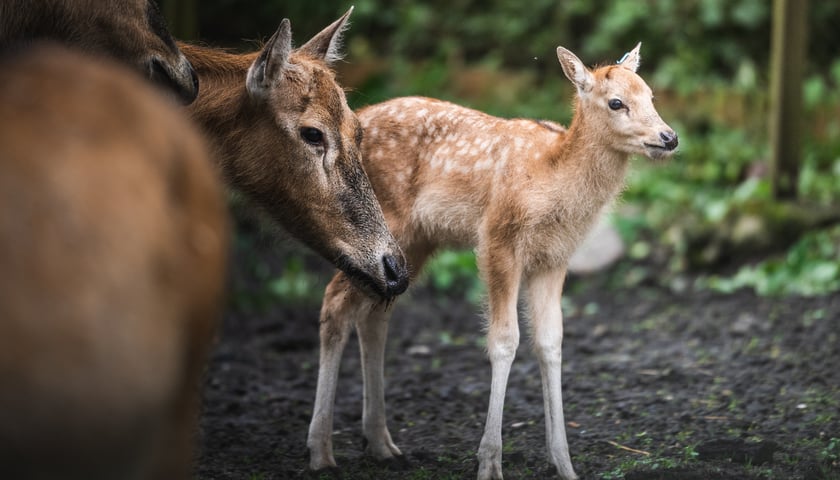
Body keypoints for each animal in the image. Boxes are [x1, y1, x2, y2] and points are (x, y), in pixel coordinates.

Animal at [306, 43, 676, 478]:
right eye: (616, 102)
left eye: (650, 94)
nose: (669, 137)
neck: (552, 177)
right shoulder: (498, 239)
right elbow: (504, 340)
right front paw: (489, 462)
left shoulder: (554, 258)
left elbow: (550, 342)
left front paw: (564, 463)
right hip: (379, 229)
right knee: (335, 303)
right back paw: (320, 451)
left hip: (413, 242)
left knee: (374, 313)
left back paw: (381, 443)